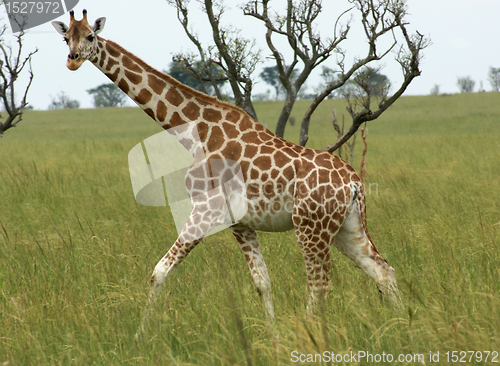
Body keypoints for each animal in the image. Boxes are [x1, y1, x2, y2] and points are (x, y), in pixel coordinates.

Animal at [51, 10, 402, 322]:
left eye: (91, 36)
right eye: (66, 38)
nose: (72, 59)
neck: (195, 131)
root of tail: (353, 181)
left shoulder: (205, 210)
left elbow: (158, 273)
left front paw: (140, 337)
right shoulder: (239, 222)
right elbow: (262, 283)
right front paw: (272, 336)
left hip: (311, 226)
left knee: (319, 286)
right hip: (347, 226)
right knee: (384, 270)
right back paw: (402, 327)